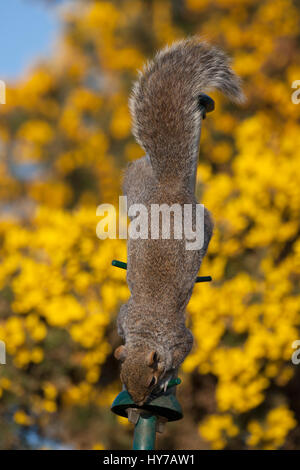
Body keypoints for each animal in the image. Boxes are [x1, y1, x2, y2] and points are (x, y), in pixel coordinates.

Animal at [113, 37, 245, 404]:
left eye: (151, 378)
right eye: (123, 378)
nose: (139, 403)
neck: (147, 330)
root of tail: (171, 189)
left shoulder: (181, 338)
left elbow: (185, 349)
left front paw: (172, 376)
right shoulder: (126, 316)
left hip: (202, 222)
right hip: (138, 188)